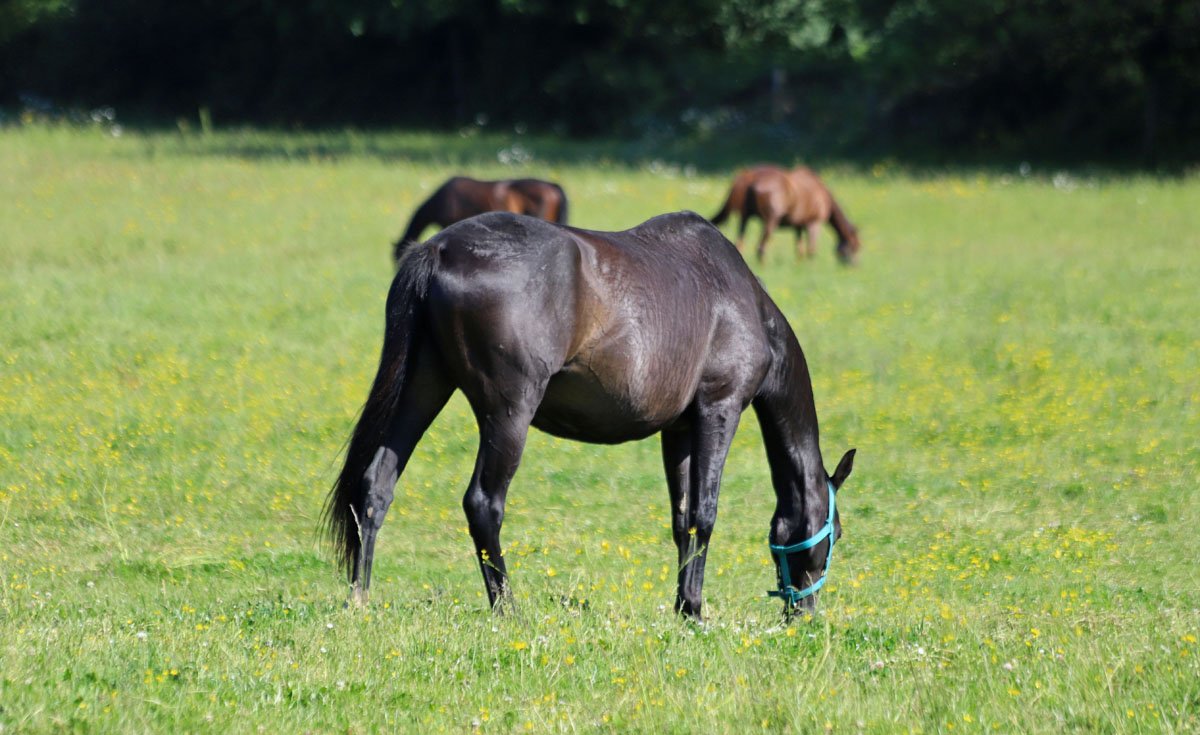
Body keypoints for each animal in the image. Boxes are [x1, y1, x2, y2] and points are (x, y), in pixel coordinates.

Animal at [327, 211, 855, 620]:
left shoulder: (679, 429)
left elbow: (681, 517)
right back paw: (507, 608)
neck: (741, 301)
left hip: (423, 387)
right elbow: (704, 514)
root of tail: (437, 250)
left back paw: (360, 598)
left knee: (377, 485)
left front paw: (684, 607)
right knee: (483, 504)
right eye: (835, 534)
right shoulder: (718, 410)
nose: (804, 613)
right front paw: (697, 610)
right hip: (508, 413)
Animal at [711, 165, 861, 265]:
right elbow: (811, 249)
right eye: (855, 246)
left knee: (740, 243)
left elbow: (799, 249)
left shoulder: (798, 226)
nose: (855, 265)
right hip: (771, 220)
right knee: (761, 247)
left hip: (745, 218)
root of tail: (750, 178)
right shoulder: (814, 223)